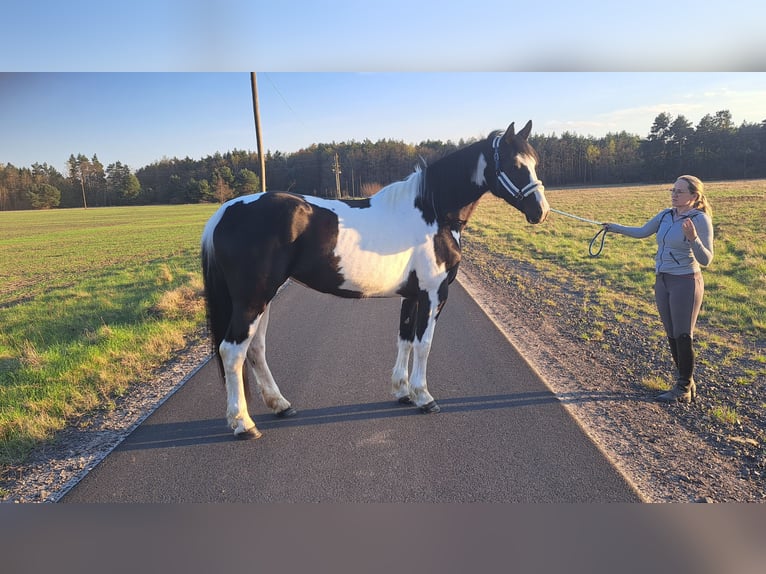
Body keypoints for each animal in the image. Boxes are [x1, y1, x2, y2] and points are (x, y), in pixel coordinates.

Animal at [201, 120, 550, 438]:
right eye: (515, 165)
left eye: (535, 163)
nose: (541, 212)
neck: (432, 211)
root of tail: (224, 212)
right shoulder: (434, 293)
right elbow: (424, 343)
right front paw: (425, 397)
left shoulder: (412, 295)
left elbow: (405, 339)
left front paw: (404, 392)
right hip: (252, 299)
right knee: (232, 351)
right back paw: (243, 423)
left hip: (263, 297)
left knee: (255, 349)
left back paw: (281, 405)